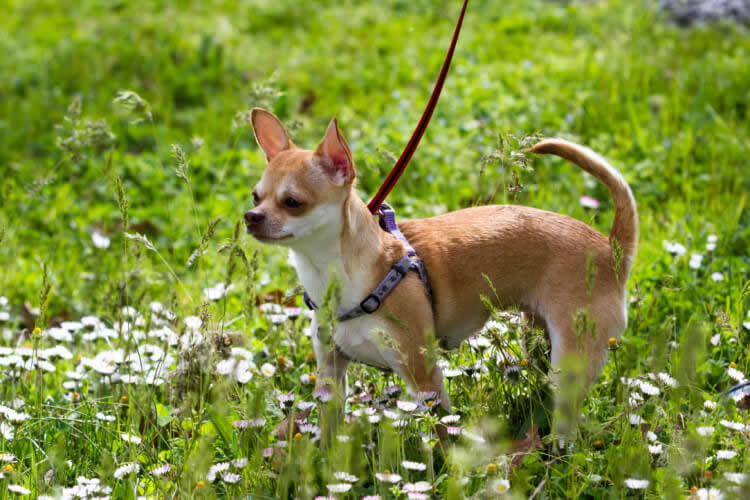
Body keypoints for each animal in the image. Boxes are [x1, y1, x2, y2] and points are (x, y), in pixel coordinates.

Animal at [250, 108, 636, 438]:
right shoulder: (331, 374)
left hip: (571, 359)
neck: (338, 273)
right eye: (256, 196)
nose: (250, 217)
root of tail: (612, 249)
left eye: (293, 202)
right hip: (538, 339)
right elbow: (328, 432)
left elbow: (440, 434)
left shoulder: (423, 376)